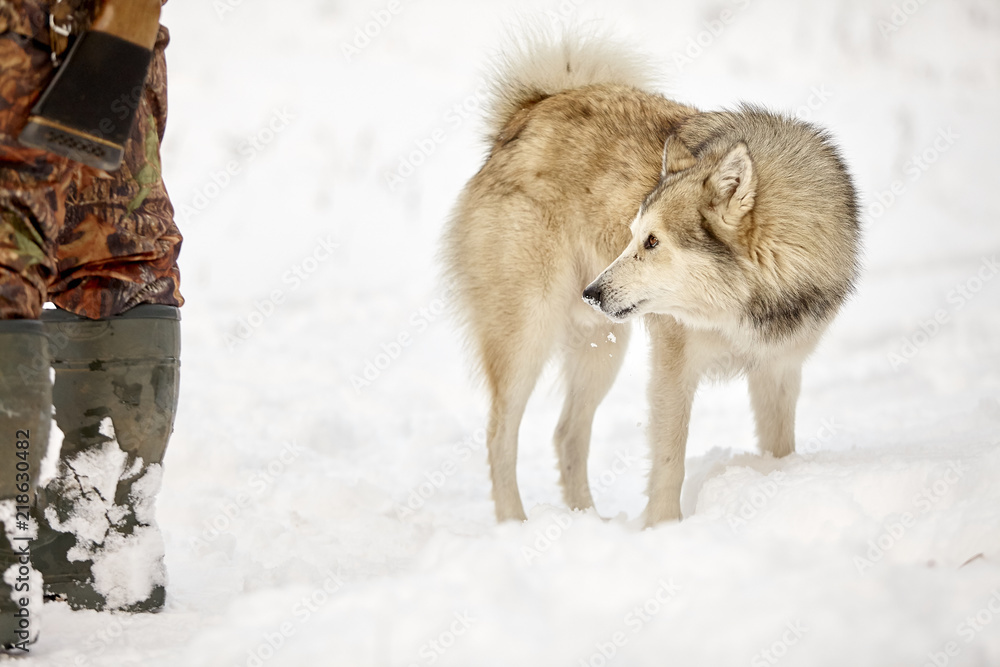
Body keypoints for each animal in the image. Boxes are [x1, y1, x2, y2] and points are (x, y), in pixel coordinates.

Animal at [443, 29, 860, 526]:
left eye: (653, 241)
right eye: (633, 235)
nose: (591, 292)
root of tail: (532, 108)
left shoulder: (779, 370)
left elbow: (780, 452)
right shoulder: (673, 367)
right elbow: (669, 462)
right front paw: (663, 529)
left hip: (602, 347)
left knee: (566, 433)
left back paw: (589, 521)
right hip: (529, 336)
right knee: (500, 437)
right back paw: (516, 524)